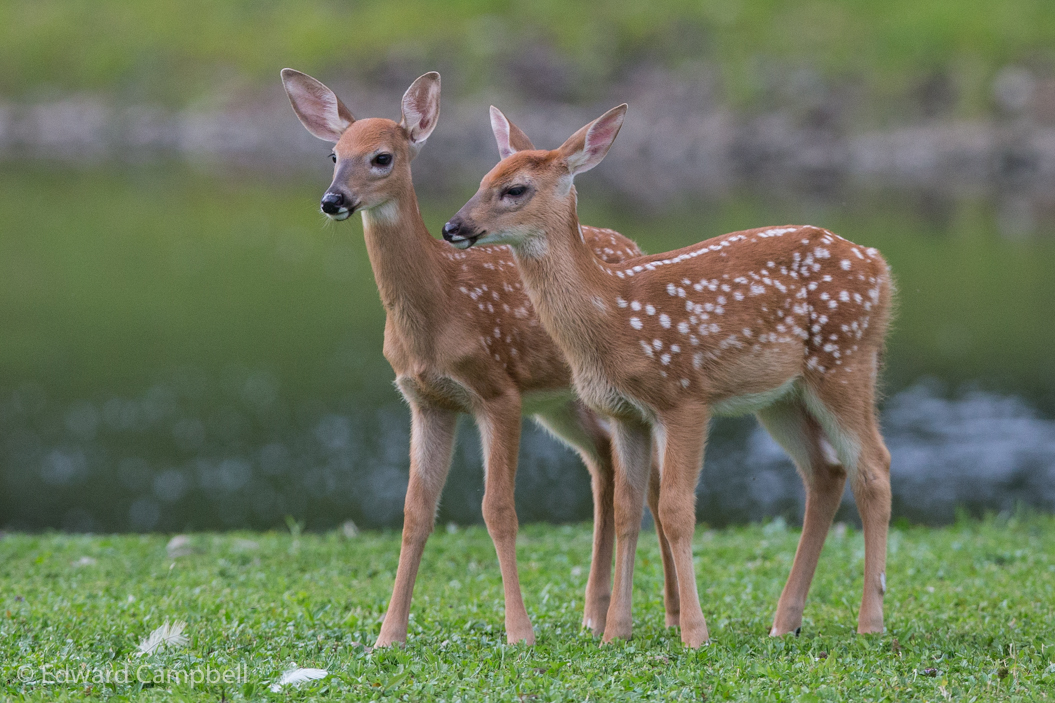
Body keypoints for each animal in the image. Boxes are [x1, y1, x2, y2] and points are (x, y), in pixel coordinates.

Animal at [280, 70, 680, 647]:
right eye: (333, 155)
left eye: (382, 157)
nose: (333, 200)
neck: (439, 305)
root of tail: (634, 246)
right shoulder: (426, 400)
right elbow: (415, 511)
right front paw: (388, 635)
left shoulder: (498, 392)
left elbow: (499, 509)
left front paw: (520, 632)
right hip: (561, 401)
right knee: (604, 462)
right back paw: (593, 613)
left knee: (645, 479)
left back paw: (665, 614)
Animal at [442, 104, 895, 648]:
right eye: (483, 180)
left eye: (515, 189)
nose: (452, 226)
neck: (611, 313)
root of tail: (880, 265)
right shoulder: (625, 412)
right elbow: (627, 508)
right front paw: (615, 631)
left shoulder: (684, 398)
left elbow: (678, 509)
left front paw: (695, 633)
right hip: (781, 396)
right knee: (826, 472)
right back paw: (785, 621)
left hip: (845, 358)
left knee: (874, 467)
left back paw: (870, 621)